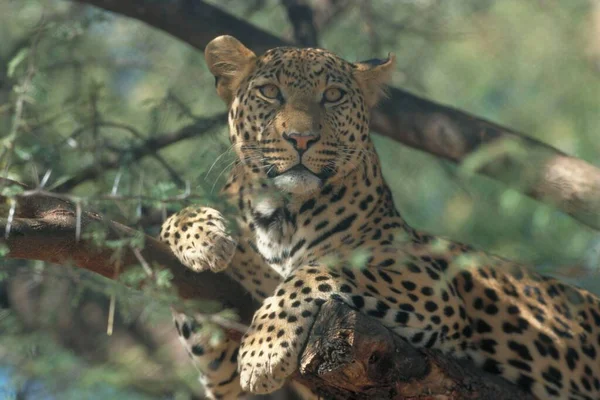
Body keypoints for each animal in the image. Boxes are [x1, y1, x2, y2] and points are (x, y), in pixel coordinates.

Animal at [158, 35, 600, 400]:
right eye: (270, 92)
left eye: (333, 95)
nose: (301, 139)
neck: (281, 211)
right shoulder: (228, 385)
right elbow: (177, 227)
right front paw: (205, 240)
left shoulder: (431, 287)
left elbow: (314, 270)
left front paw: (263, 350)